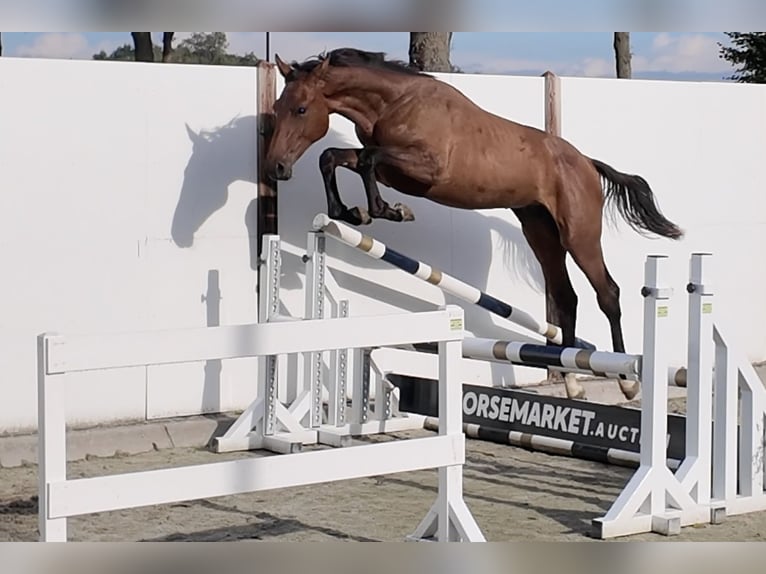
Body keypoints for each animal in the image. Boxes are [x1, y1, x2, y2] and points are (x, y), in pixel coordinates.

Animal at [263, 47, 683, 401]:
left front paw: (387, 210)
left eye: (301, 109)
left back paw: (628, 382)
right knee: (566, 298)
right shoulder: (391, 169)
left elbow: (365, 159)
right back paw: (572, 382)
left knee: (607, 293)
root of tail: (586, 163)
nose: (276, 167)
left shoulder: (424, 168)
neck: (394, 105)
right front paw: (352, 213)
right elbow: (335, 157)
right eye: (279, 107)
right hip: (541, 233)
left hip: (579, 234)